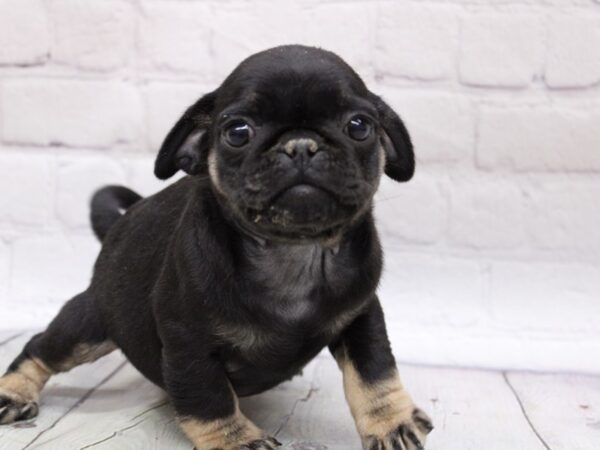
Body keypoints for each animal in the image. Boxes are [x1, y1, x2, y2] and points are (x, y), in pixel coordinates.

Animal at [0, 45, 432, 450]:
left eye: (359, 126)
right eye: (238, 132)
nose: (301, 144)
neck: (291, 253)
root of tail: (117, 229)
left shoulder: (362, 318)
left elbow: (375, 374)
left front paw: (392, 424)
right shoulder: (189, 343)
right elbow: (209, 399)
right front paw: (236, 440)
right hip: (91, 323)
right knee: (42, 348)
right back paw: (13, 392)